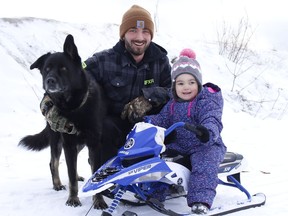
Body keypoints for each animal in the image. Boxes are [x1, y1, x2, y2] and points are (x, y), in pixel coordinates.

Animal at [18, 34, 108, 208]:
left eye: (63, 68)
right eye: (46, 69)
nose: (49, 80)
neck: (74, 106)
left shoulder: (94, 143)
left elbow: (93, 173)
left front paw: (98, 200)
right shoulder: (68, 143)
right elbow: (71, 176)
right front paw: (73, 199)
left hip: (78, 143)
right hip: (57, 141)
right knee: (53, 162)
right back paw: (57, 184)